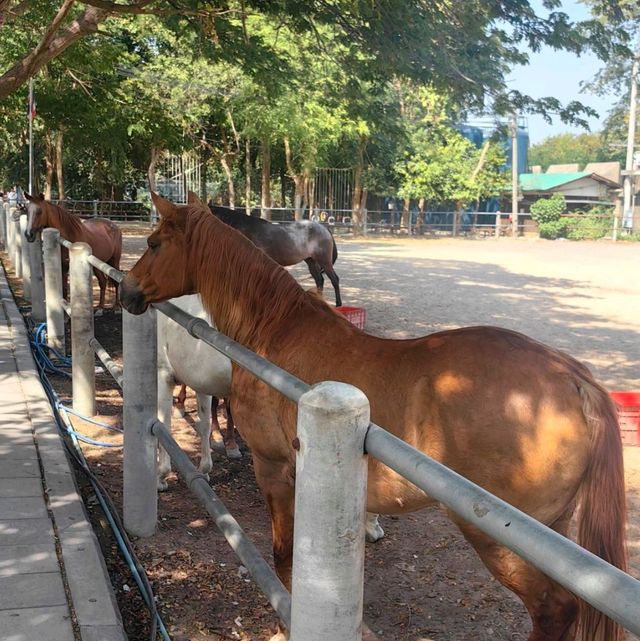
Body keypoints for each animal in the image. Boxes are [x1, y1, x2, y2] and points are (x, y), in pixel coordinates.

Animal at [157, 294, 240, 490]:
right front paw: (204, 471)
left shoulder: (163, 375)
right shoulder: (202, 384)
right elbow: (204, 425)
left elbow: (164, 425)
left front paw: (161, 477)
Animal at [210, 204, 342, 306]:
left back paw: (338, 304)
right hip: (311, 261)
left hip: (324, 260)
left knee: (334, 279)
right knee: (319, 280)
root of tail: (324, 229)